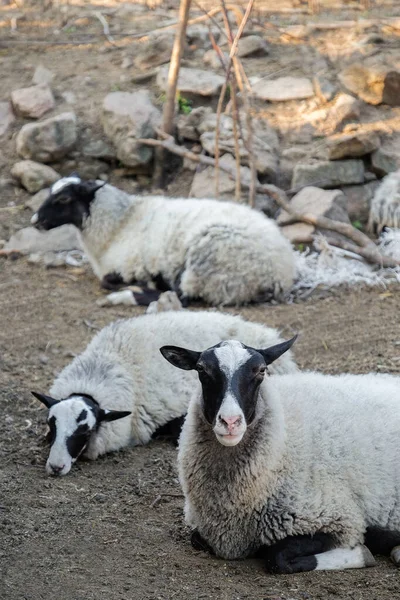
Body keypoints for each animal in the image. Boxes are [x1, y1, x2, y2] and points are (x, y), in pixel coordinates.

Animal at [30, 176, 294, 308]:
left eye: (63, 198)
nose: (35, 221)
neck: (119, 224)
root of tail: (282, 273)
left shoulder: (128, 266)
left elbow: (108, 281)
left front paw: (133, 286)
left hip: (212, 262)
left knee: (183, 297)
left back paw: (127, 295)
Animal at [161, 336, 400, 576]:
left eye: (261, 370)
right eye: (201, 369)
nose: (230, 422)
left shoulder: (337, 518)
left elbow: (278, 558)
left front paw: (362, 553)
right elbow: (196, 539)